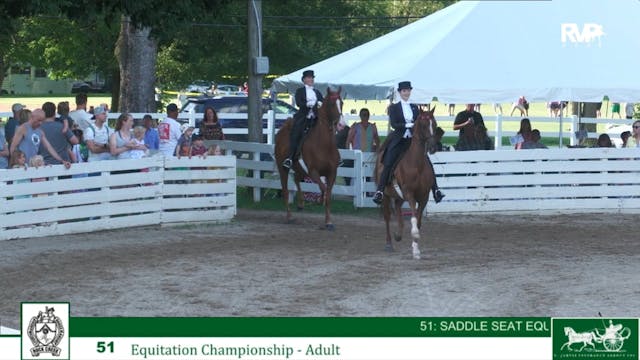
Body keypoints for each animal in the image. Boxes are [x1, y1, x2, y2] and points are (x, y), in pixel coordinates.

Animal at [276, 86, 344, 231]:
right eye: (331, 104)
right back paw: (289, 216)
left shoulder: (332, 173)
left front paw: (328, 222)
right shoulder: (313, 172)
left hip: (299, 169)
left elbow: (328, 194)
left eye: (341, 103)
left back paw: (301, 203)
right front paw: (321, 201)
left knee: (296, 180)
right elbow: (323, 189)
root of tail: (282, 131)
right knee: (285, 190)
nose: (341, 125)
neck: (324, 144)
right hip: (283, 168)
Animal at [372, 108, 438, 260]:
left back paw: (398, 235)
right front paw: (415, 240)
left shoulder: (424, 197)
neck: (417, 164)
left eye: (435, 124)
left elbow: (418, 221)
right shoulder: (409, 194)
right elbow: (413, 218)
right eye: (423, 125)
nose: (432, 147)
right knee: (387, 216)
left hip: (399, 197)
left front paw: (416, 248)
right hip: (386, 196)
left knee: (397, 208)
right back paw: (389, 243)